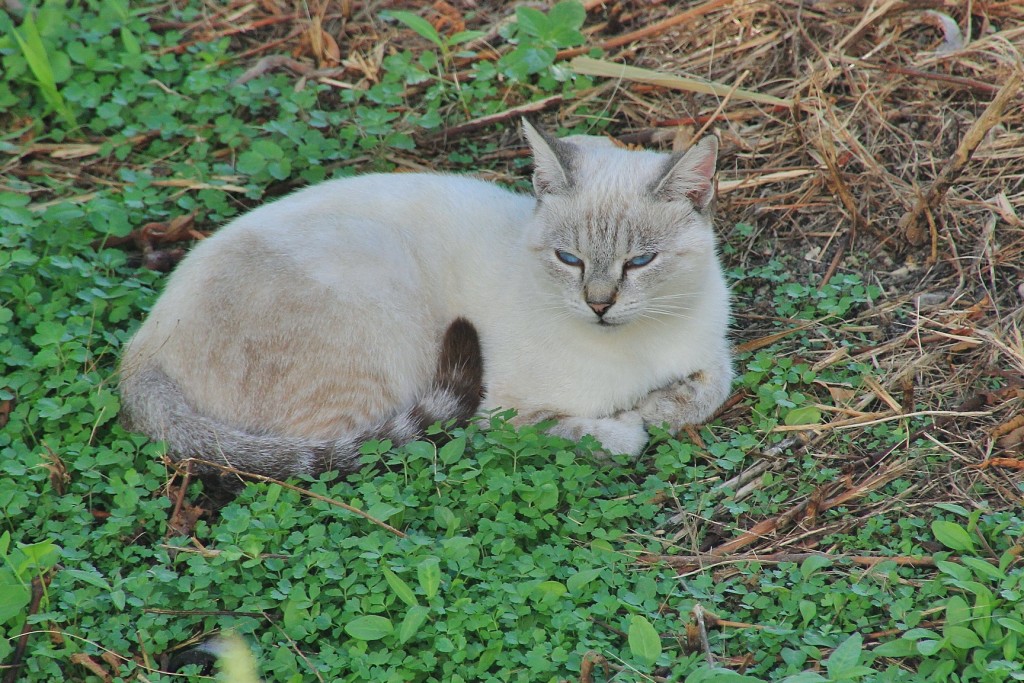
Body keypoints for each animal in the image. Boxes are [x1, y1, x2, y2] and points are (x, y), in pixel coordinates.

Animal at [117, 122, 729, 483]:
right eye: (568, 259)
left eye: (640, 262)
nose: (599, 304)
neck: (638, 347)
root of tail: (139, 351)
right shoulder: (500, 414)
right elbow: (600, 433)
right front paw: (633, 420)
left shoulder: (713, 352)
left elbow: (708, 390)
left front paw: (662, 403)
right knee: (339, 453)